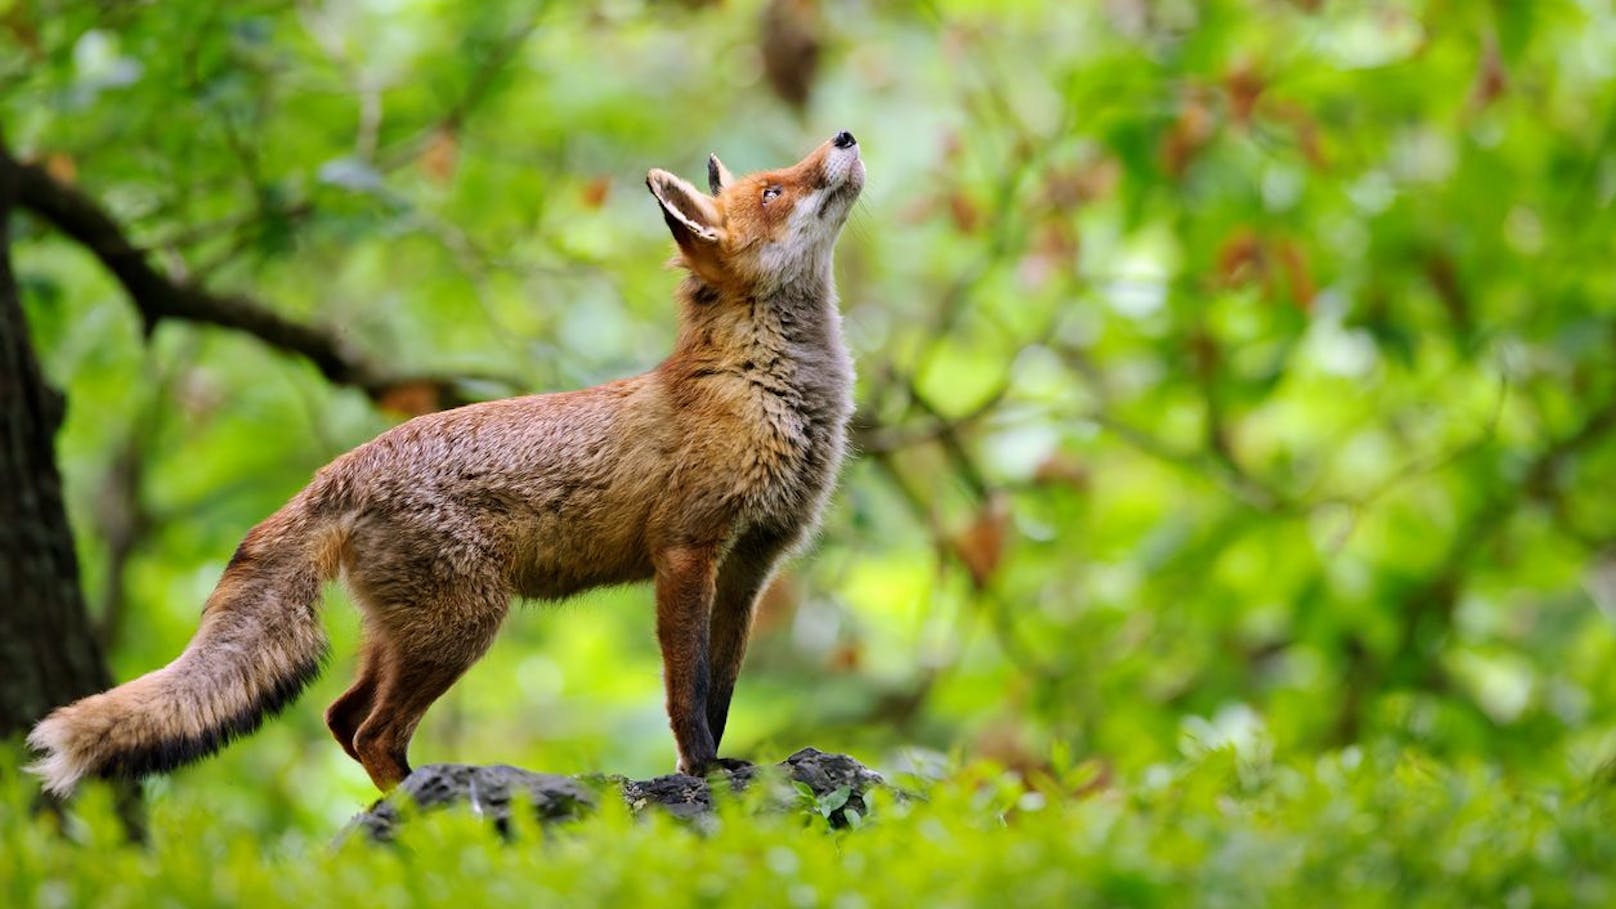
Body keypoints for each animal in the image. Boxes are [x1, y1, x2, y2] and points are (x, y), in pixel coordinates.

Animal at [22, 131, 872, 789]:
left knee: (341, 716)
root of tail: (342, 467)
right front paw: (699, 770)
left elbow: (721, 687)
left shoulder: (751, 564)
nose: (844, 137)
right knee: (372, 731)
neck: (765, 390)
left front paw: (725, 764)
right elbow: (686, 694)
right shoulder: (687, 549)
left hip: (407, 633)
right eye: (774, 190)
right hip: (463, 624)